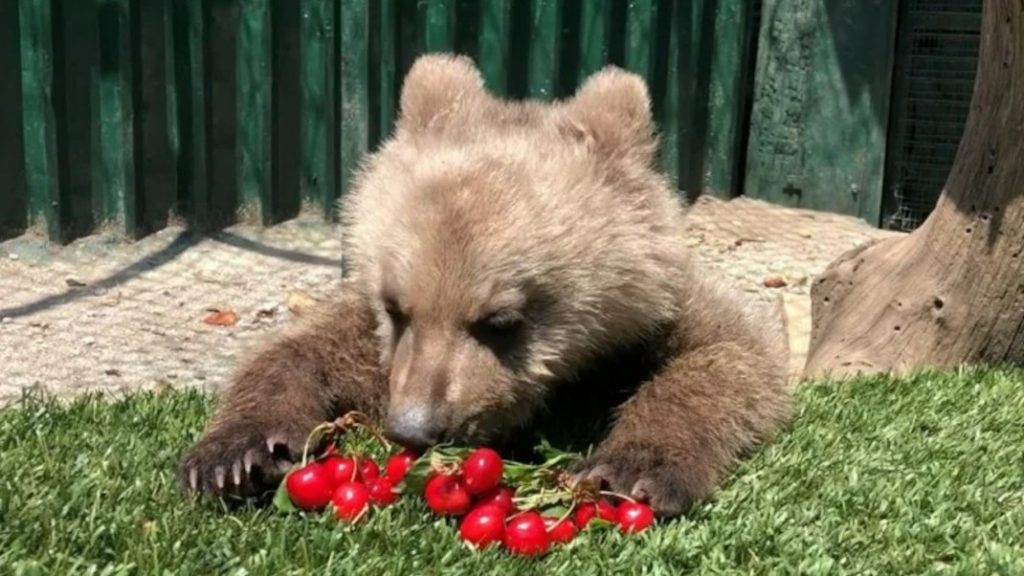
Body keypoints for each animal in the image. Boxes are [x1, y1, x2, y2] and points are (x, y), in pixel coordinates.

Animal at [180, 52, 790, 510]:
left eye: (501, 320)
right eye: (395, 308)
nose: (414, 428)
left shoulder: (663, 309)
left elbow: (731, 356)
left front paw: (629, 470)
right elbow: (301, 349)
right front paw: (235, 458)